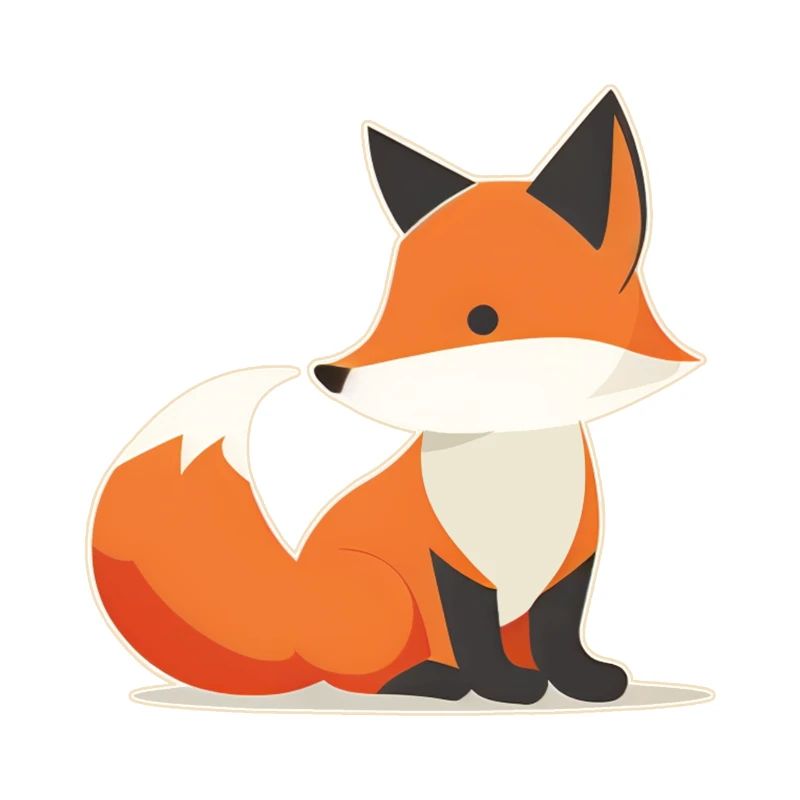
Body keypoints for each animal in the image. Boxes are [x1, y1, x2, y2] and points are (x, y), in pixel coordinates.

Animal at [89, 87, 703, 705]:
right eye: (390, 304)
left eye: (482, 319)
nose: (331, 374)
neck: (511, 472)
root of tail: (294, 613)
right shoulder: (449, 565)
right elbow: (474, 635)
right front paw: (505, 687)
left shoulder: (573, 561)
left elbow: (560, 631)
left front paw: (581, 681)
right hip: (383, 591)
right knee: (360, 678)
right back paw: (433, 680)